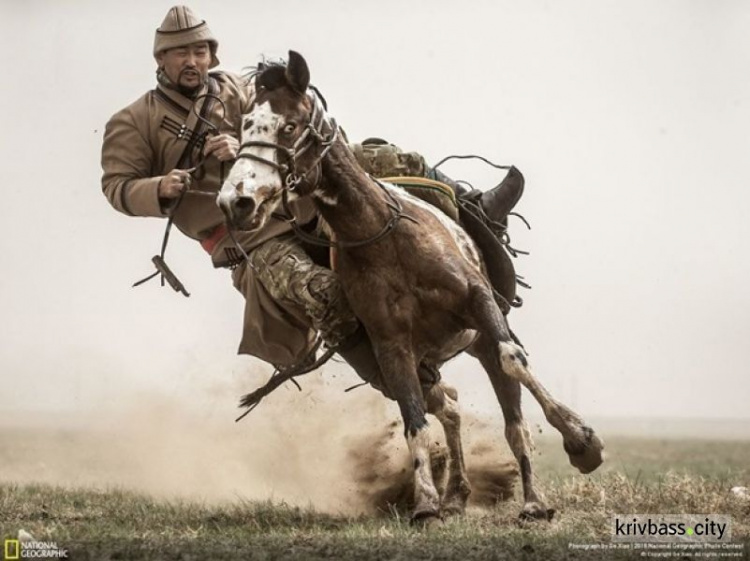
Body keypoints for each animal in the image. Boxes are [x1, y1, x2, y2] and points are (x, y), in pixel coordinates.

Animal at [217, 51, 604, 520]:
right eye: (244, 126)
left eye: (288, 126)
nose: (236, 200)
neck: (381, 235)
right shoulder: (391, 345)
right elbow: (413, 418)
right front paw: (426, 503)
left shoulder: (480, 303)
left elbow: (514, 361)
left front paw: (580, 441)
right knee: (449, 408)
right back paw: (456, 493)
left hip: (481, 337)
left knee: (510, 404)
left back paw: (533, 497)